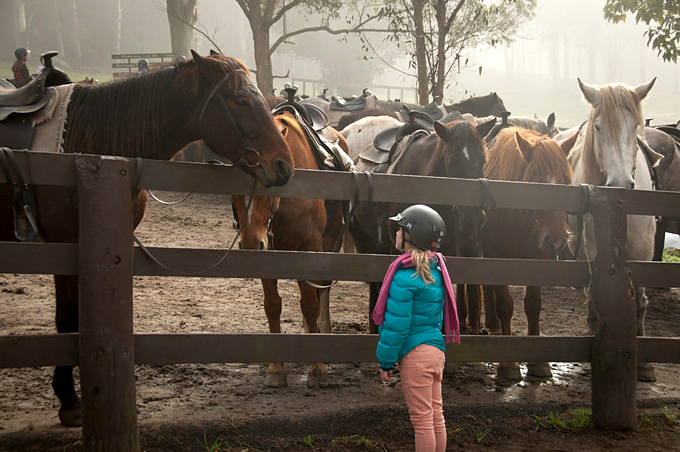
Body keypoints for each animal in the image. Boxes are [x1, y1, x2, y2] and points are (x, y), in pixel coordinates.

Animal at [0, 51, 292, 426]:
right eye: (241, 100)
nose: (283, 165)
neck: (89, 143)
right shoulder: (64, 248)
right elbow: (66, 321)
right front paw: (68, 400)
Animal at [232, 110, 348, 388]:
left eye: (270, 182)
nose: (250, 243)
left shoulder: (311, 248)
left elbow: (311, 304)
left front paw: (317, 367)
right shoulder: (269, 253)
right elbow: (273, 305)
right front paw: (276, 368)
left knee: (320, 291)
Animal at [480, 127, 576, 382]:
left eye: (567, 182)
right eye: (536, 183)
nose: (557, 239)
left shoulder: (539, 257)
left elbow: (533, 304)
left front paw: (538, 362)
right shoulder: (496, 256)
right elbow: (505, 304)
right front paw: (509, 363)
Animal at [564, 77, 660, 382]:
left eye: (634, 125)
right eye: (598, 127)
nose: (619, 182)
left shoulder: (643, 250)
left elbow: (639, 299)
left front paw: (644, 364)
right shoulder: (595, 249)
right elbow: (597, 292)